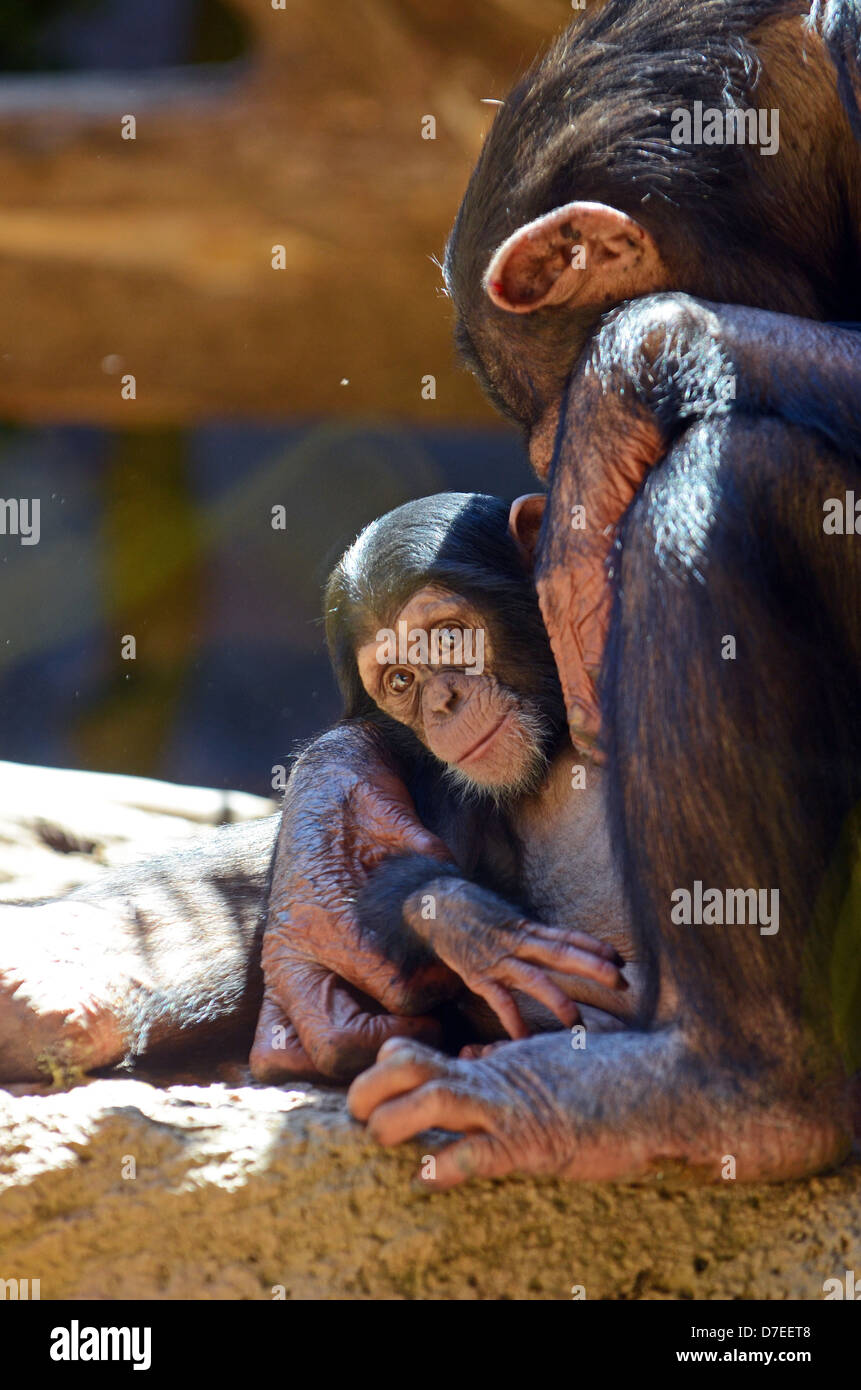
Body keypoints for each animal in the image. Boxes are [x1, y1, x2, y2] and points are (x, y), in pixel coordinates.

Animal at [253, 0, 861, 1184]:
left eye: (543, 408)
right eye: (402, 681)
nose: (443, 699)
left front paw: (622, 385)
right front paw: (345, 864)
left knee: (739, 470)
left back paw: (719, 1090)